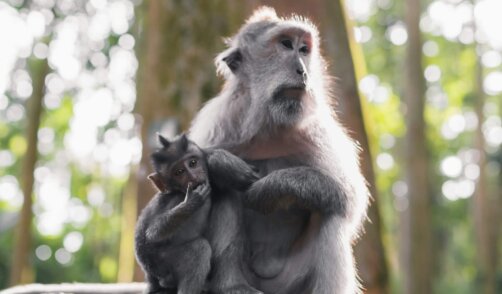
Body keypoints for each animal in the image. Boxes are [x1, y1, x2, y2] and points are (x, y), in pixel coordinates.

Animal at [135, 134, 260, 294]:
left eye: (193, 163)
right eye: (179, 172)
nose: (192, 175)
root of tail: (151, 277)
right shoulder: (175, 199)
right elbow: (153, 233)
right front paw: (192, 202)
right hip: (163, 265)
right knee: (198, 250)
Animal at [188, 6, 368, 294]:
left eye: (303, 49)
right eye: (285, 44)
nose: (302, 70)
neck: (268, 123)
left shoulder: (318, 130)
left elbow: (350, 197)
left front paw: (273, 186)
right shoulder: (219, 121)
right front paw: (223, 163)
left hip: (292, 280)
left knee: (331, 210)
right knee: (226, 191)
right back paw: (232, 285)